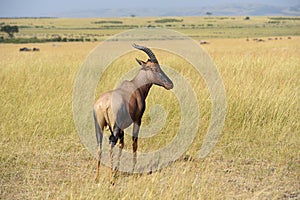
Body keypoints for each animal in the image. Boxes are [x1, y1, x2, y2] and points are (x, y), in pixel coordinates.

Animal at [94, 43, 173, 183]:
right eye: (154, 68)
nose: (170, 84)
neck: (135, 87)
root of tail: (104, 104)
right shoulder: (137, 120)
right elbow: (134, 143)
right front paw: (133, 169)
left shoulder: (122, 127)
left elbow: (122, 144)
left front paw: (117, 169)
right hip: (114, 128)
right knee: (111, 145)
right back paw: (111, 178)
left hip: (99, 127)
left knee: (100, 146)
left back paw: (97, 177)